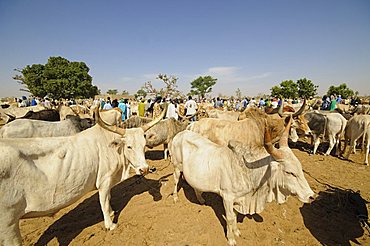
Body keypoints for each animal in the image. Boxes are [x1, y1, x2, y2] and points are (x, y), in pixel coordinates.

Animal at [0, 106, 165, 246]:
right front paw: (110, 224)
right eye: (129, 146)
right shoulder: (104, 181)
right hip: (8, 225)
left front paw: (112, 212)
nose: (144, 169)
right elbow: (104, 203)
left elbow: (109, 199)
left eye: (144, 145)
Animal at [169, 118, 314, 244]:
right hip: (177, 167)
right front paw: (231, 239)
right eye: (290, 172)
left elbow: (234, 216)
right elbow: (229, 218)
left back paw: (200, 199)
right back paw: (175, 198)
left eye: (300, 168)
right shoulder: (227, 197)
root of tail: (181, 133)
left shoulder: (238, 199)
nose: (311, 196)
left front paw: (236, 232)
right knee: (175, 181)